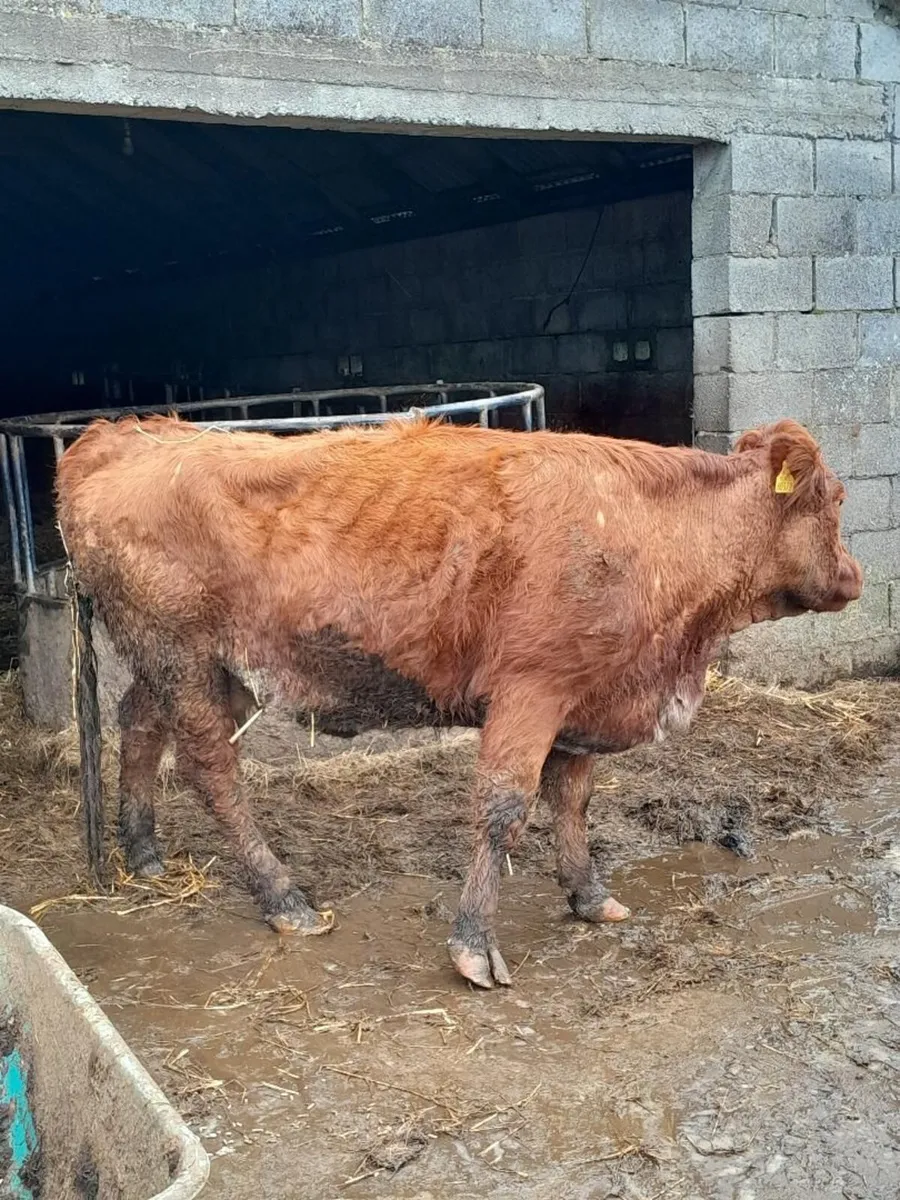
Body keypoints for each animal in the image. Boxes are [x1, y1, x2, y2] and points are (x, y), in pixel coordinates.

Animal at [56, 415, 861, 989]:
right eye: (835, 499)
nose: (855, 577)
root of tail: (121, 435)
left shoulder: (583, 700)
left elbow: (572, 801)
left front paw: (589, 895)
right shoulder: (531, 693)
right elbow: (505, 809)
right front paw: (474, 945)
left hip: (175, 664)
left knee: (138, 727)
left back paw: (144, 852)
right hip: (185, 658)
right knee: (212, 772)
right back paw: (285, 899)